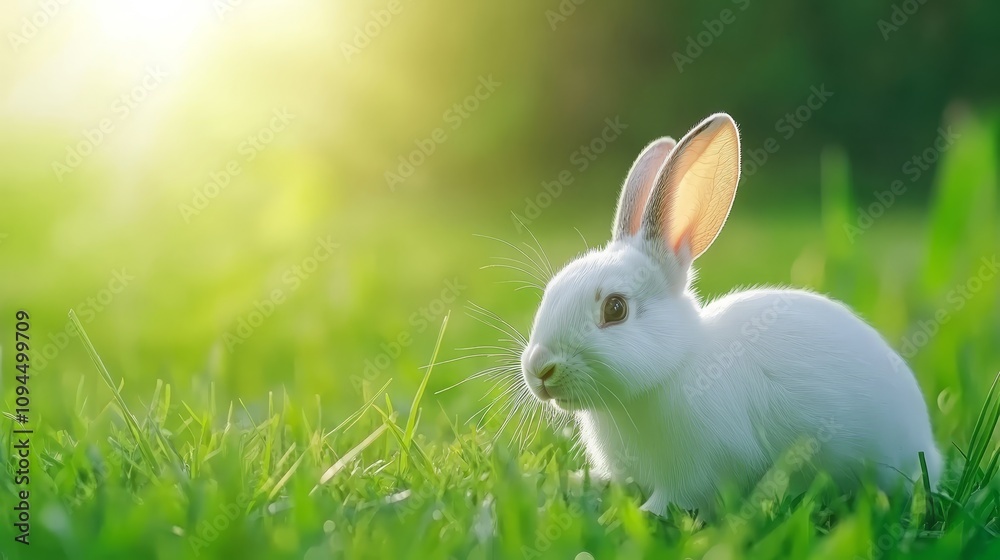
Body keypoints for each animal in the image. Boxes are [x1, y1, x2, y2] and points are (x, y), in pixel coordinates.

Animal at [518, 112, 942, 516]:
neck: (675, 367)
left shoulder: (695, 476)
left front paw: (638, 516)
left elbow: (669, 501)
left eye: (615, 308)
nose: (540, 370)